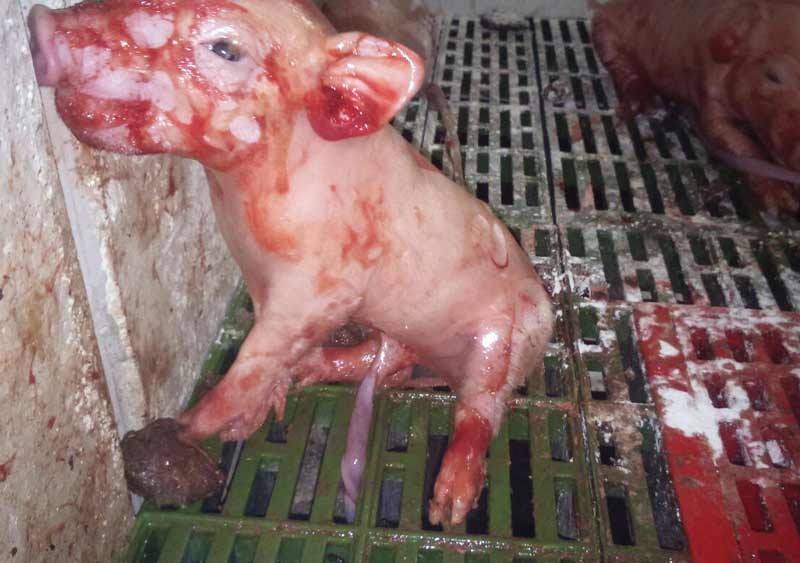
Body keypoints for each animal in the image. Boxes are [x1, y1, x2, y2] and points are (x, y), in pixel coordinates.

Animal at [28, 0, 552, 526]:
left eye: (225, 48)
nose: (41, 26)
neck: (240, 197)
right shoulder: (258, 278)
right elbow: (271, 355)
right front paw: (265, 406)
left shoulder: (323, 287)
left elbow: (258, 354)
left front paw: (193, 426)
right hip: (399, 329)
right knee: (384, 363)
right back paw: (317, 370)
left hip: (517, 332)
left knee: (482, 403)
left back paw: (447, 505)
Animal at [591, 0, 800, 215]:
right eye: (772, 76)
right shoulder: (710, 90)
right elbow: (729, 137)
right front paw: (780, 204)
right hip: (605, 29)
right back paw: (640, 105)